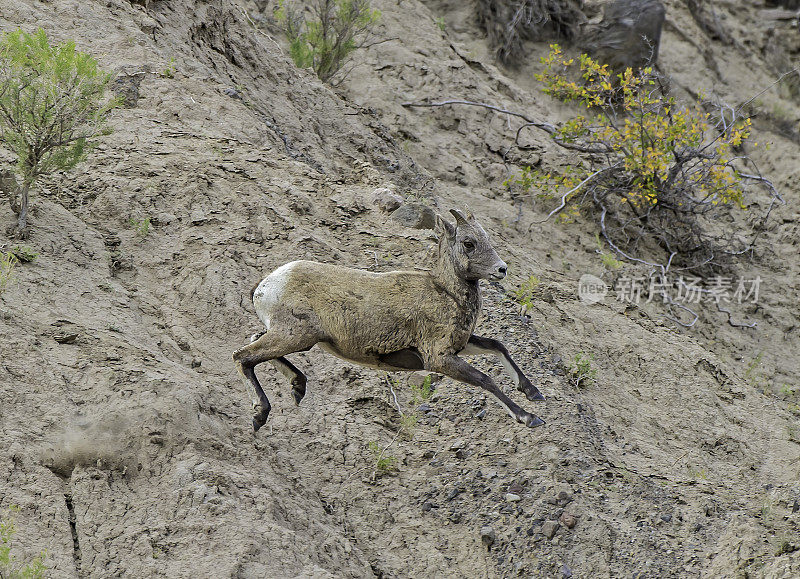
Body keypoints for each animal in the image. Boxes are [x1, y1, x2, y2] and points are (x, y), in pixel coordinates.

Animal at [231, 208, 544, 430]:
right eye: (468, 243)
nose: (501, 269)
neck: (444, 292)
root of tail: (266, 285)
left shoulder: (461, 346)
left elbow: (497, 345)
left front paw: (534, 393)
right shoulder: (439, 359)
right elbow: (486, 380)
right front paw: (529, 418)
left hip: (293, 336)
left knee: (254, 343)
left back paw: (297, 387)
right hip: (296, 335)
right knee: (242, 356)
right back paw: (261, 415)